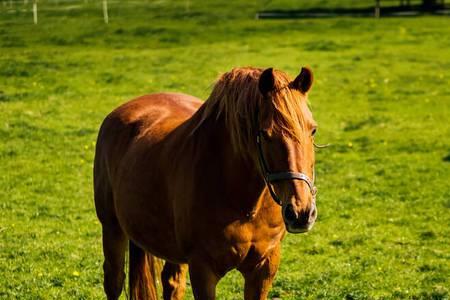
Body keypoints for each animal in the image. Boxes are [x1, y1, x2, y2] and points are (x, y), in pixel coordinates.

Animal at [94, 66, 320, 300]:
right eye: (266, 135)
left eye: (313, 130)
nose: (301, 212)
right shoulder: (203, 270)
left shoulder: (264, 267)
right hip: (112, 228)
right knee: (114, 280)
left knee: (172, 283)